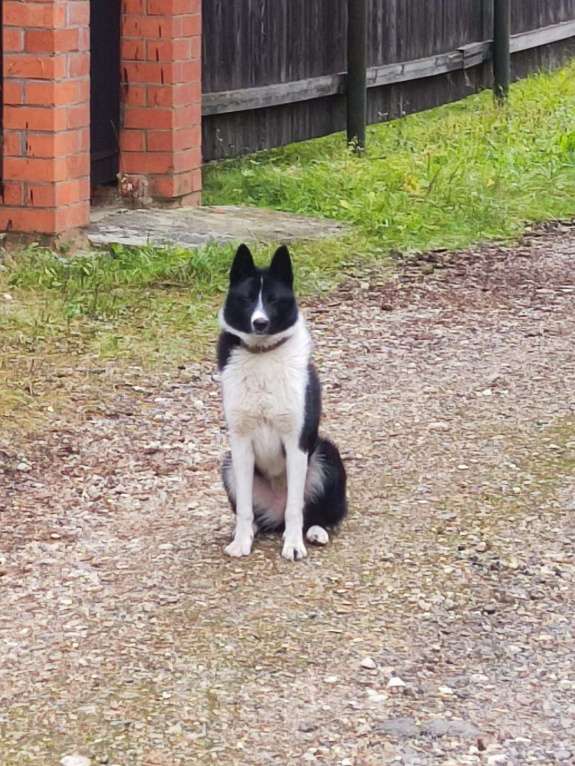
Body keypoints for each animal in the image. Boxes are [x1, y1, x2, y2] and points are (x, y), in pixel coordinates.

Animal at [217, 246, 346, 564]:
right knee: (256, 515)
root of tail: (274, 510)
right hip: (228, 465)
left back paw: (314, 532)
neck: (262, 355)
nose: (260, 323)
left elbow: (295, 507)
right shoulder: (240, 444)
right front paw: (241, 542)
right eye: (247, 298)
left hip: (326, 454)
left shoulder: (296, 442)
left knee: (314, 513)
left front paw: (293, 546)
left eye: (273, 299)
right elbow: (244, 509)